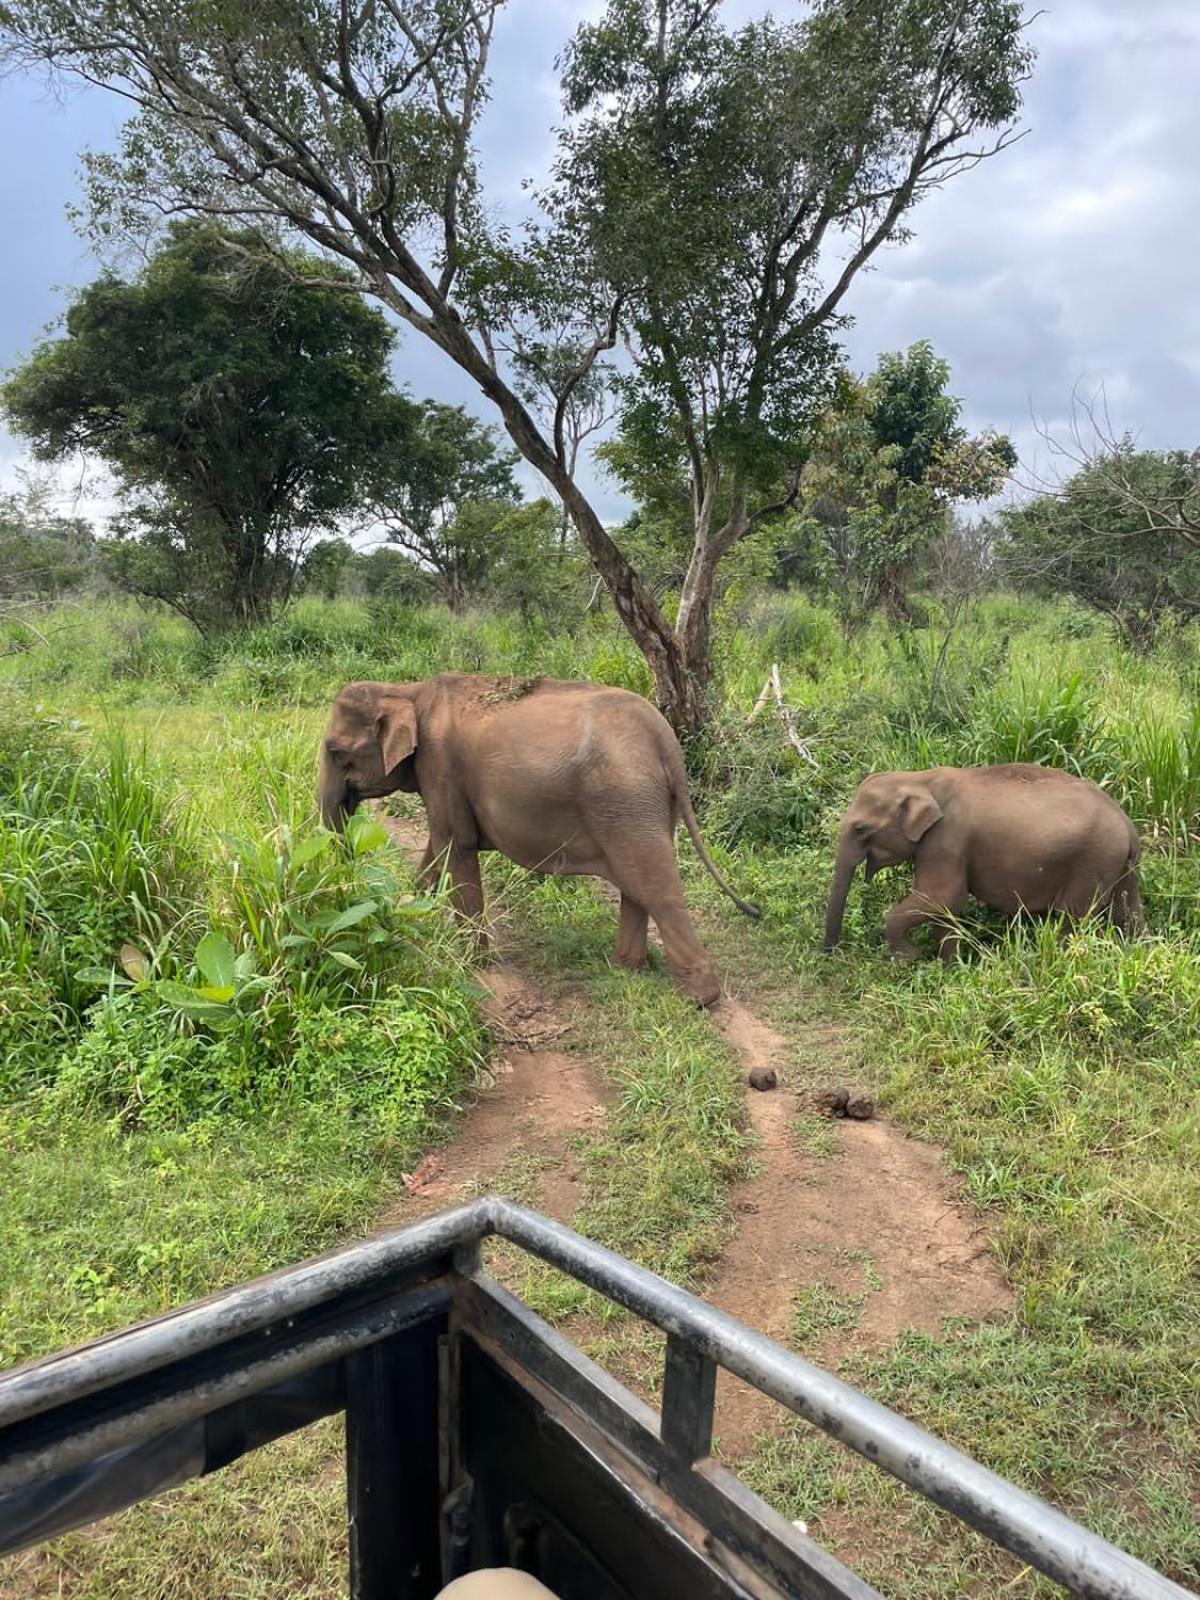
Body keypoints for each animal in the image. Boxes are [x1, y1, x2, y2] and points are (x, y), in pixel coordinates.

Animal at [315, 672, 755, 998]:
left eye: (336, 752)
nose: (347, 876)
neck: (408, 690)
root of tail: (667, 740)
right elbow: (439, 847)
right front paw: (408, 908)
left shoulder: (439, 766)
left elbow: (455, 843)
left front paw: (473, 963)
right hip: (644, 807)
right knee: (637, 882)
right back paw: (627, 968)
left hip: (627, 799)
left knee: (655, 886)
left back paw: (701, 997)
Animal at [825, 764, 1145, 960]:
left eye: (860, 829)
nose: (829, 953)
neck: (918, 778)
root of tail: (1128, 826)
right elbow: (946, 908)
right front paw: (948, 967)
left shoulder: (947, 838)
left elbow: (941, 897)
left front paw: (908, 958)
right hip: (1119, 865)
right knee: (1128, 913)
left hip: (1093, 861)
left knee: (1072, 918)